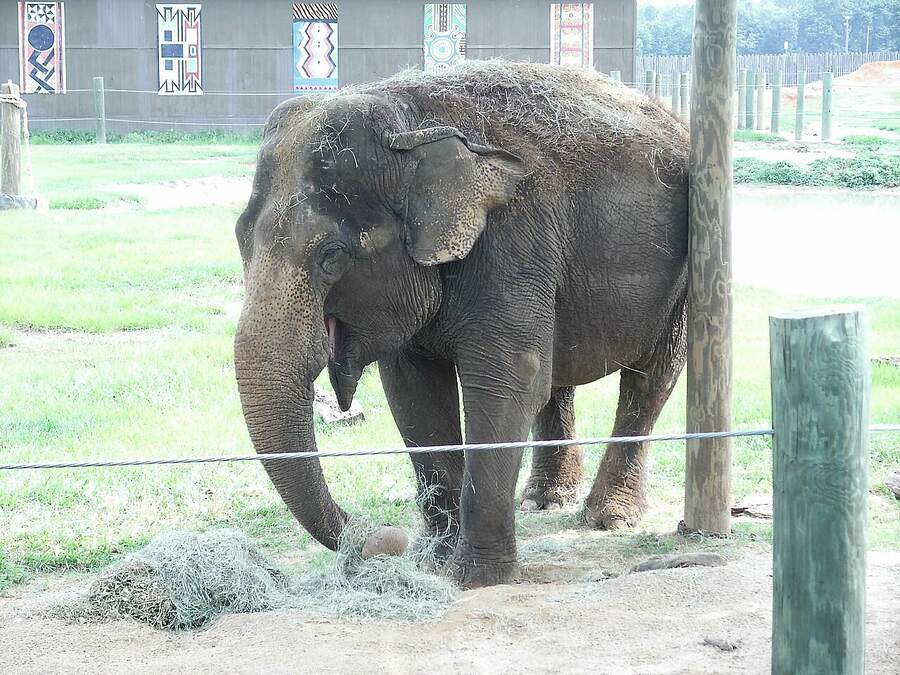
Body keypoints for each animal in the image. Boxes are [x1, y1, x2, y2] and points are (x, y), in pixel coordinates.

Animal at [233, 61, 689, 589]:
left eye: (331, 255)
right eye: (240, 237)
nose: (385, 538)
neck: (409, 124)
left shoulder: (514, 243)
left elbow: (505, 384)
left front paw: (474, 578)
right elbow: (414, 395)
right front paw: (433, 563)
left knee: (652, 377)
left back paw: (608, 518)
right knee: (559, 378)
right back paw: (544, 501)